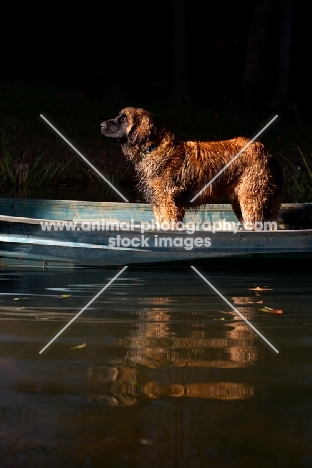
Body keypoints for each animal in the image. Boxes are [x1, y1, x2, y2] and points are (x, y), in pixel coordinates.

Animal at [101, 108, 284, 229]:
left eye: (123, 119)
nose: (102, 124)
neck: (153, 147)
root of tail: (266, 151)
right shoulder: (159, 203)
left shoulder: (167, 203)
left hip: (251, 198)